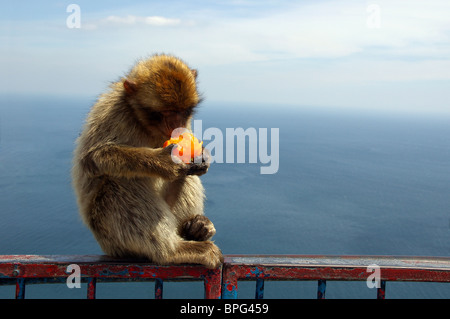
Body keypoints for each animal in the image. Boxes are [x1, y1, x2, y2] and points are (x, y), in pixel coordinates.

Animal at [71, 54, 223, 270]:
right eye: (166, 112)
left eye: (183, 111)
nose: (176, 124)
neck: (143, 122)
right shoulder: (112, 111)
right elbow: (94, 157)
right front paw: (164, 162)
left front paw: (202, 157)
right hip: (110, 238)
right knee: (118, 184)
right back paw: (172, 251)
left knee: (187, 176)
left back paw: (195, 228)